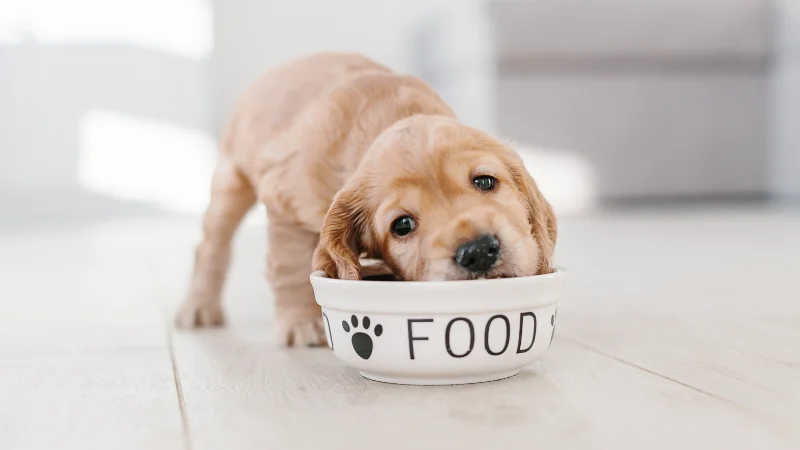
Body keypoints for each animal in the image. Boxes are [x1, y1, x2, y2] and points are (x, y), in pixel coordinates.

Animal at [175, 53, 556, 348]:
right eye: (402, 225)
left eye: (485, 181)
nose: (477, 251)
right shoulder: (285, 202)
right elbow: (290, 266)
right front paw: (300, 323)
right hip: (231, 181)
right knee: (210, 246)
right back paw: (199, 307)